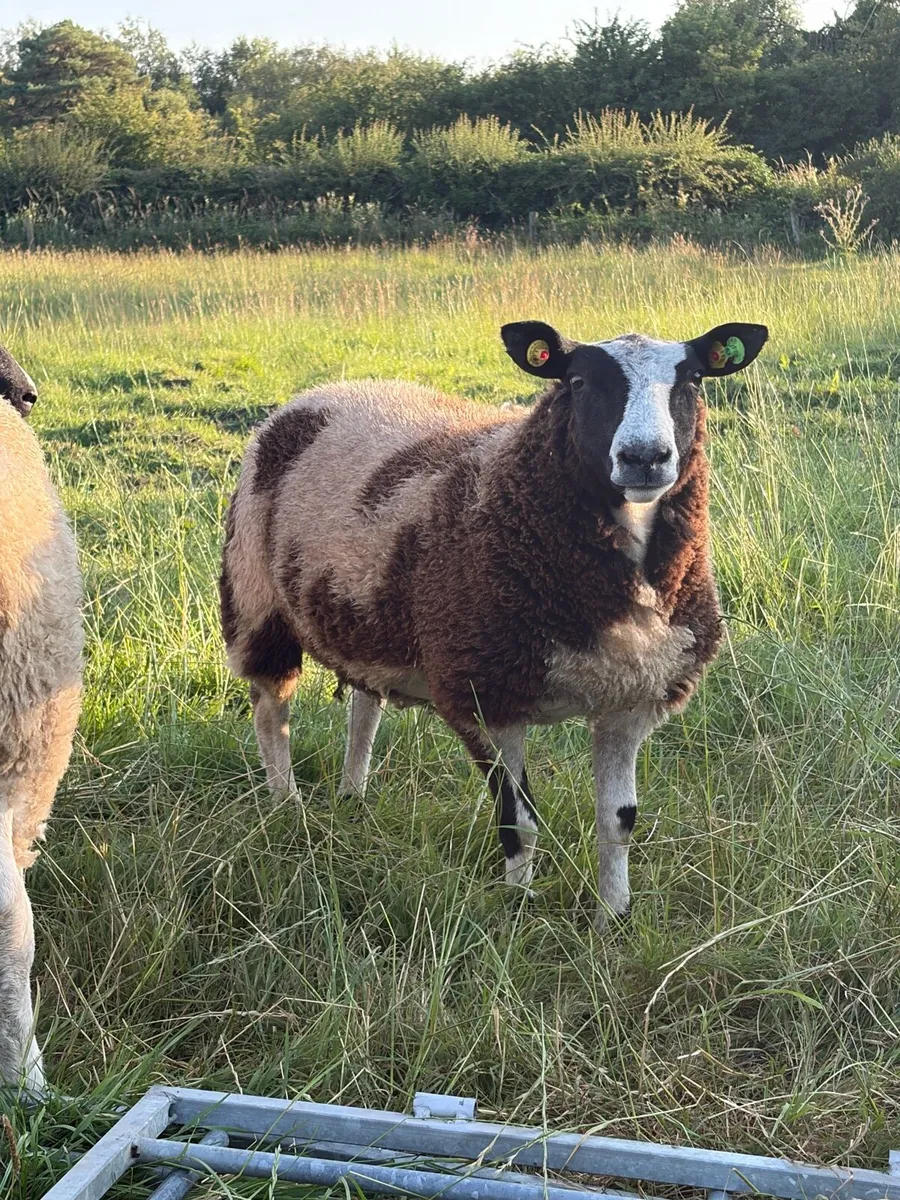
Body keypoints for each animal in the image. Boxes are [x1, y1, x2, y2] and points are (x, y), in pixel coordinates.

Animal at [220, 319, 767, 924]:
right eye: (577, 381)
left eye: (692, 379)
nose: (644, 457)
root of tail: (322, 391)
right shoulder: (484, 694)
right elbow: (518, 821)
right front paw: (521, 907)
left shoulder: (631, 700)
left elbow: (619, 822)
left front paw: (613, 918)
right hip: (255, 597)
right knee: (272, 712)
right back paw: (287, 806)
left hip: (368, 613)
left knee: (365, 702)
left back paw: (352, 796)